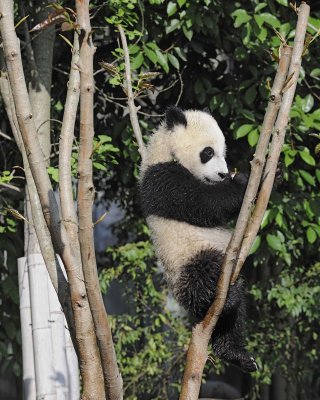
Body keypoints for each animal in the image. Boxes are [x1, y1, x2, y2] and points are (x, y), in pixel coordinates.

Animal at [139, 105, 258, 372]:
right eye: (208, 152)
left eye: (223, 153)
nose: (223, 174)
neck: (165, 150)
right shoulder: (163, 180)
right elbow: (204, 203)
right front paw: (246, 180)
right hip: (185, 260)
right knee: (203, 273)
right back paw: (221, 297)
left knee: (235, 318)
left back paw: (234, 352)